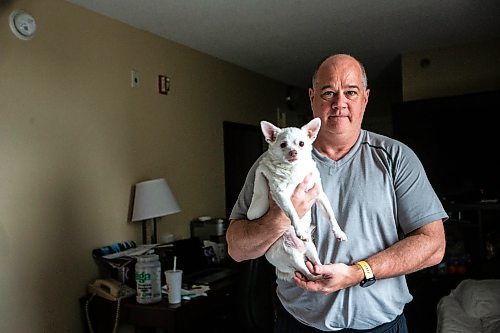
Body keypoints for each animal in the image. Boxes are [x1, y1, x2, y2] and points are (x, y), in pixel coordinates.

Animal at [247, 116, 348, 280]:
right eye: (283, 144)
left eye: (301, 143)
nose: (293, 152)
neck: (294, 169)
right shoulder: (280, 193)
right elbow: (292, 211)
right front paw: (299, 229)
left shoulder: (319, 194)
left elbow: (330, 214)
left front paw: (338, 232)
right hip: (291, 256)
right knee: (308, 274)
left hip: (310, 248)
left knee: (316, 265)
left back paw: (323, 272)